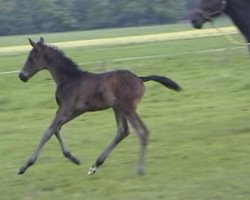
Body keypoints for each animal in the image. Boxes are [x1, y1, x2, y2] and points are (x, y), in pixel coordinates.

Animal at [18, 37, 182, 175]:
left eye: (31, 58)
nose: (21, 76)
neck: (67, 78)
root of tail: (140, 79)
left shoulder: (65, 109)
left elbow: (48, 131)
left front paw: (25, 166)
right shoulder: (74, 111)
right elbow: (56, 129)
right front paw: (73, 158)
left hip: (127, 108)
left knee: (142, 132)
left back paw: (139, 169)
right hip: (118, 108)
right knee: (123, 131)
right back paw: (95, 165)